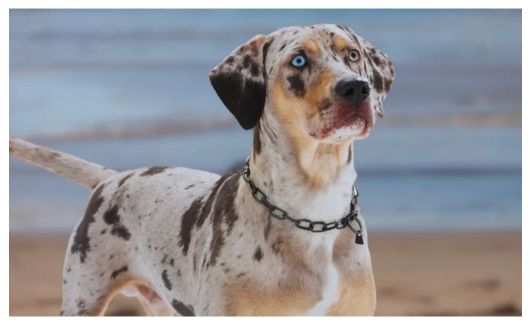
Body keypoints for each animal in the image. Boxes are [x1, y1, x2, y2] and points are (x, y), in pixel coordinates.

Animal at [9, 24, 392, 316]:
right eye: (298, 59)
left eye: (352, 55)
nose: (356, 87)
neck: (314, 210)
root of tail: (111, 179)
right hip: (83, 298)